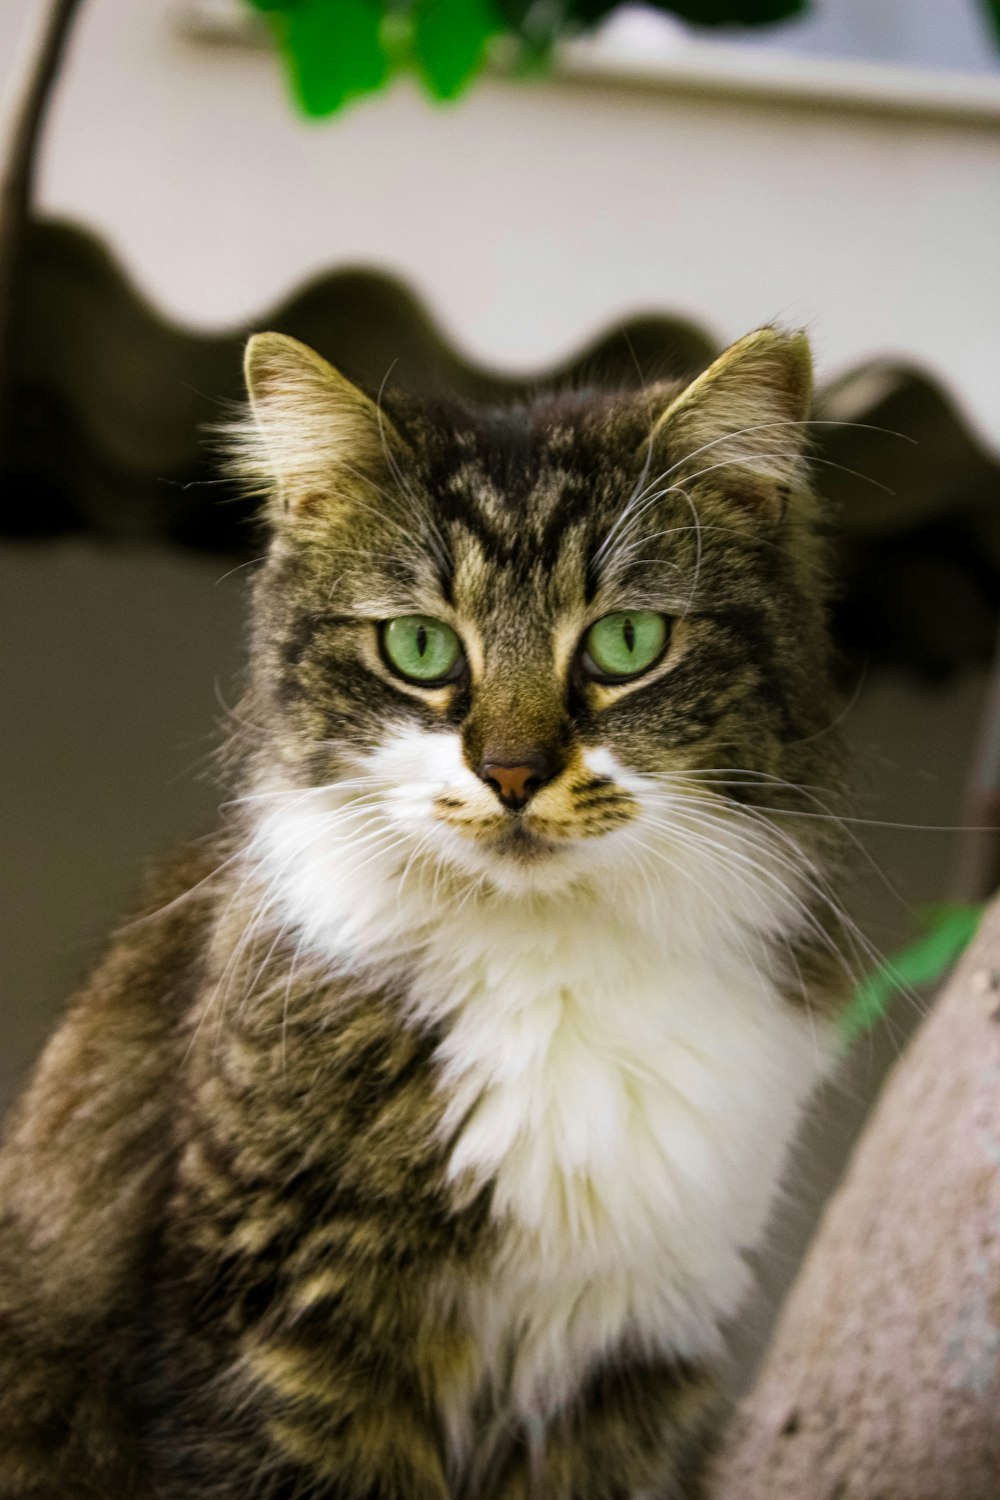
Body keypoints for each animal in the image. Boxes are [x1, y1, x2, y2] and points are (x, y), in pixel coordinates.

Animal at [0, 322, 851, 1494]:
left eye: (627, 643)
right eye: (419, 648)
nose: (513, 773)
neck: (549, 973)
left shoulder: (631, 1361)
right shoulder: (283, 1330)